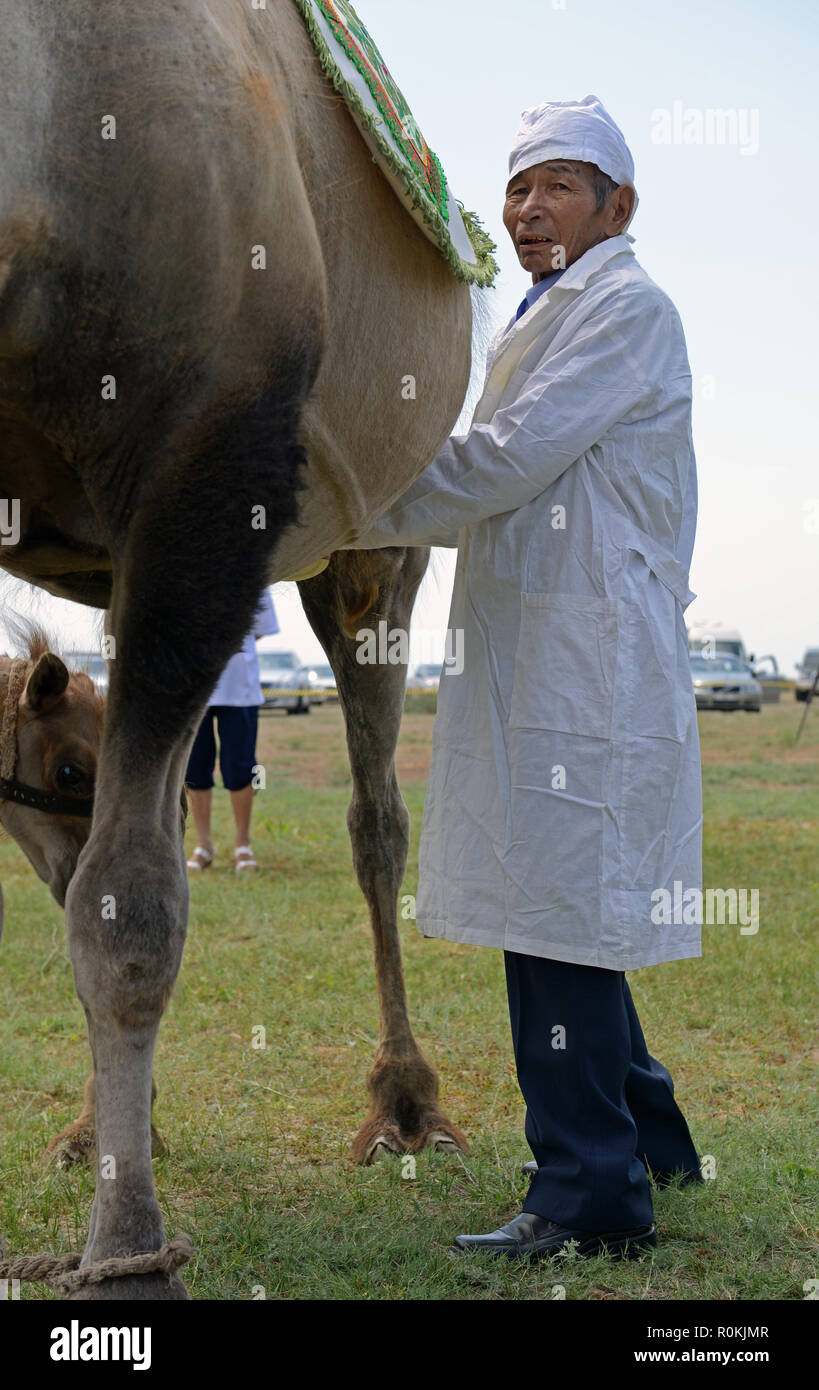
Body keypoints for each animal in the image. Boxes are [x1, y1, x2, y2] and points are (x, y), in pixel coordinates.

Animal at [0, 0, 486, 1297]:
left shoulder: (212, 466)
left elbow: (129, 911)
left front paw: (130, 1257)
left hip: (376, 541)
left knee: (374, 818)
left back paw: (408, 1104)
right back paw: (101, 1127)